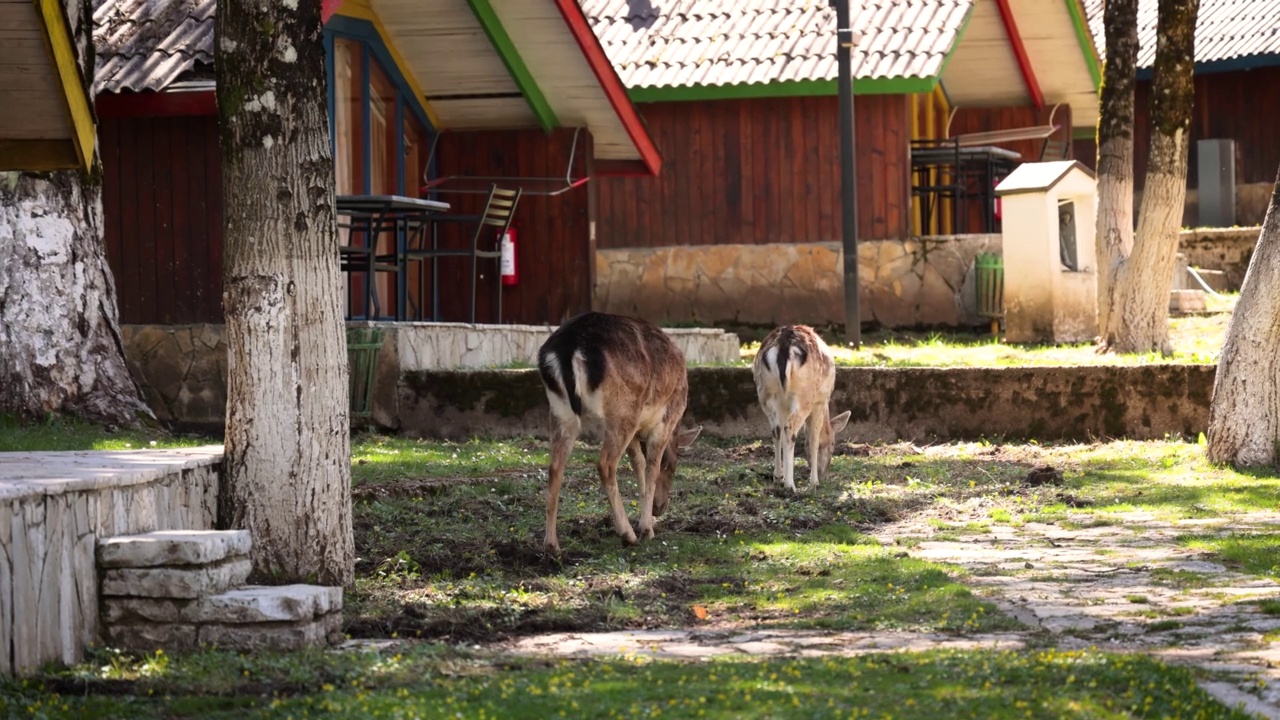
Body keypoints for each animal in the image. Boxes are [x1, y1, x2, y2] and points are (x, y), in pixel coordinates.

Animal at [535, 311, 706, 550]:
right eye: (673, 466)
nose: (660, 508)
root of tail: (568, 348)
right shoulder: (666, 419)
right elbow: (651, 468)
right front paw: (647, 529)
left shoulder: (636, 433)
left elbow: (638, 463)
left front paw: (647, 519)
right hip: (623, 409)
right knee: (605, 463)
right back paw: (627, 534)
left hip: (561, 409)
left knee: (555, 467)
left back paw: (551, 544)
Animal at [747, 322, 849, 489]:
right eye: (833, 444)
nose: (824, 476)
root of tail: (784, 345)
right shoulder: (820, 401)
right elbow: (813, 439)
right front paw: (814, 482)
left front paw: (782, 476)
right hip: (804, 394)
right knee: (789, 428)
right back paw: (790, 485)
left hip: (765, 393)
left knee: (777, 430)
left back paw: (778, 477)